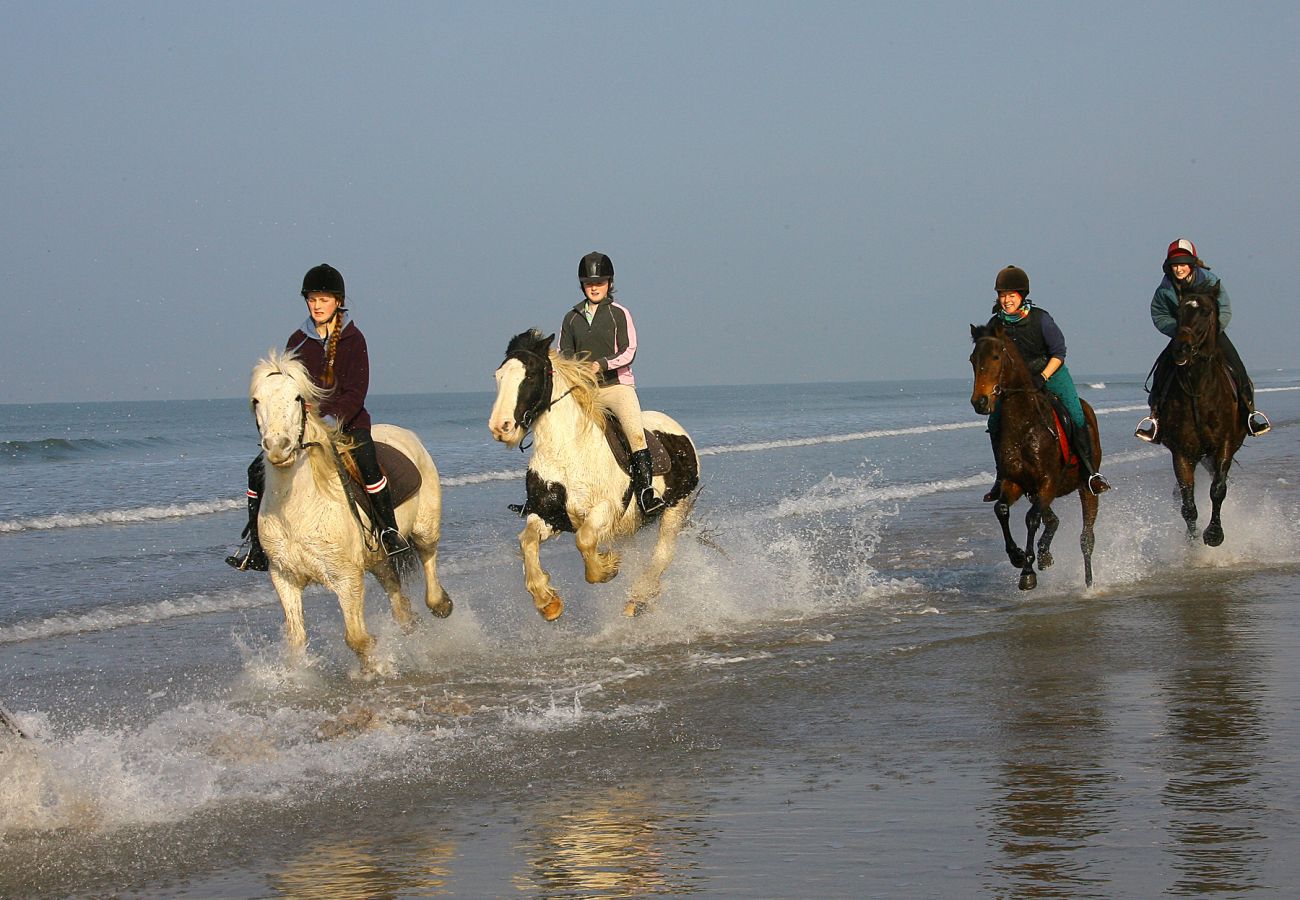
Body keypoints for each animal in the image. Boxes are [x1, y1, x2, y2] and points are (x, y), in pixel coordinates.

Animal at [248, 351, 452, 676]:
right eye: (256, 400)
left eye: (297, 398)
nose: (278, 447)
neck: (298, 507)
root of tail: (405, 434)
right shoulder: (284, 576)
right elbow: (296, 640)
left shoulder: (346, 578)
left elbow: (356, 638)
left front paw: (374, 670)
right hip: (378, 557)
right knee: (397, 597)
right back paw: (411, 622)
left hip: (424, 528)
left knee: (428, 559)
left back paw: (441, 605)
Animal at [488, 329, 702, 619]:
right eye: (498, 376)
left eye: (530, 375)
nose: (501, 427)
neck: (567, 452)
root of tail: (678, 430)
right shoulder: (548, 515)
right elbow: (527, 542)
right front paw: (547, 601)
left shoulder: (607, 508)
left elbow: (584, 540)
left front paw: (605, 568)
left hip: (675, 508)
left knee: (663, 554)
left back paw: (638, 599)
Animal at [972, 323, 1102, 590]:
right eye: (972, 359)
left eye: (996, 357)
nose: (980, 402)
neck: (1025, 426)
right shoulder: (1015, 483)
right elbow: (1001, 509)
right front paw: (1018, 556)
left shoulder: (1047, 483)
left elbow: (1032, 518)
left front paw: (1027, 571)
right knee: (1052, 520)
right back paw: (1044, 554)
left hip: (1086, 488)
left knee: (1086, 537)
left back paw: (1088, 583)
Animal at [1154, 284, 1242, 543]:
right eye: (1179, 311)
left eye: (1206, 311)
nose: (1181, 348)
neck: (1198, 388)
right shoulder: (1182, 452)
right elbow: (1187, 504)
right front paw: (1191, 543)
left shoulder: (1224, 444)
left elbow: (1218, 489)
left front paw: (1214, 534)